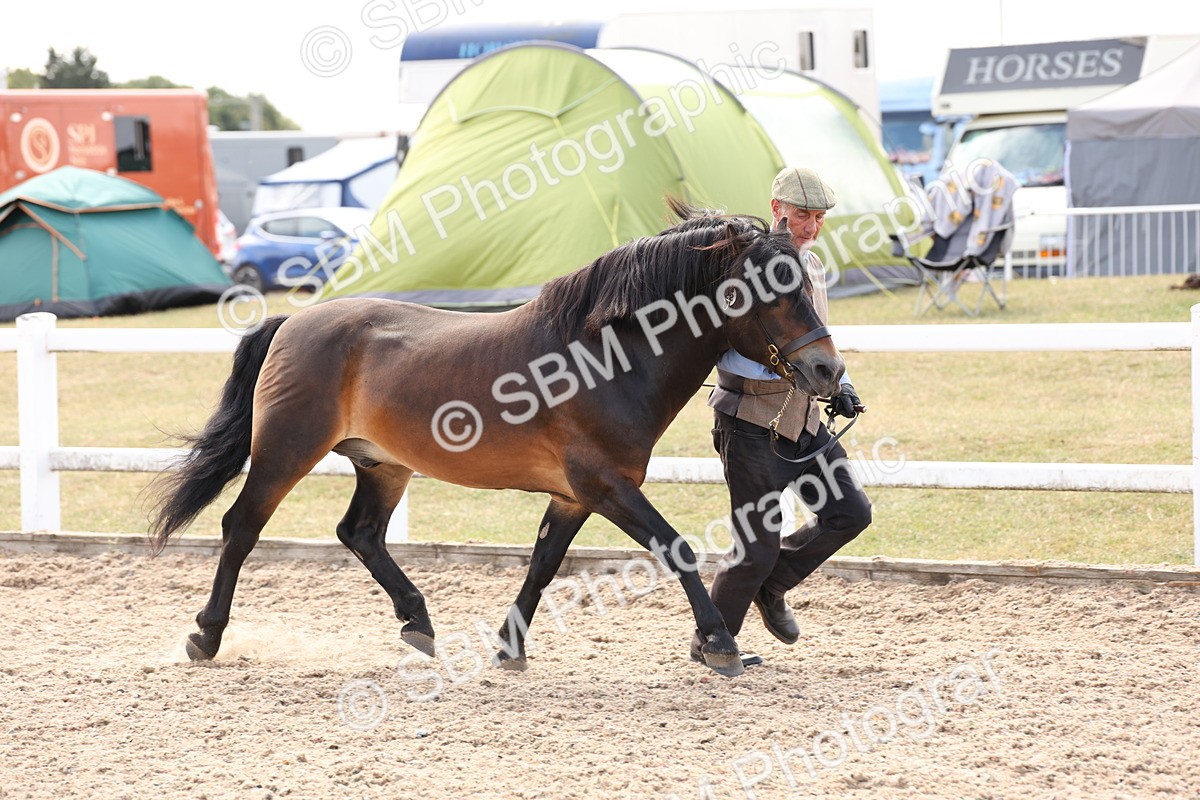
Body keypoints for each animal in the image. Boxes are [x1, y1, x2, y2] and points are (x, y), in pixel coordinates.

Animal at [148, 198, 846, 678]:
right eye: (770, 291)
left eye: (805, 283)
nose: (828, 372)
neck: (604, 357)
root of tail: (293, 320)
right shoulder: (606, 485)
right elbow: (675, 548)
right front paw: (721, 643)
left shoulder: (573, 495)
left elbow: (543, 564)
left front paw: (510, 648)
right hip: (285, 452)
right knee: (241, 527)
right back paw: (206, 635)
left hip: (384, 465)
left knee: (360, 533)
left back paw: (419, 622)